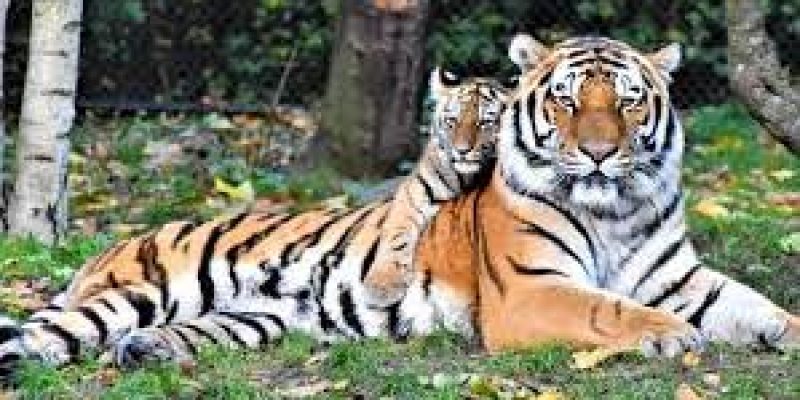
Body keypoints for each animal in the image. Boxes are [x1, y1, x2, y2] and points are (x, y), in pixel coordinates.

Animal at [363, 67, 511, 306]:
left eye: (485, 123)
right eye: (452, 121)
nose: (462, 150)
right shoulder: (414, 193)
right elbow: (396, 235)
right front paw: (381, 285)